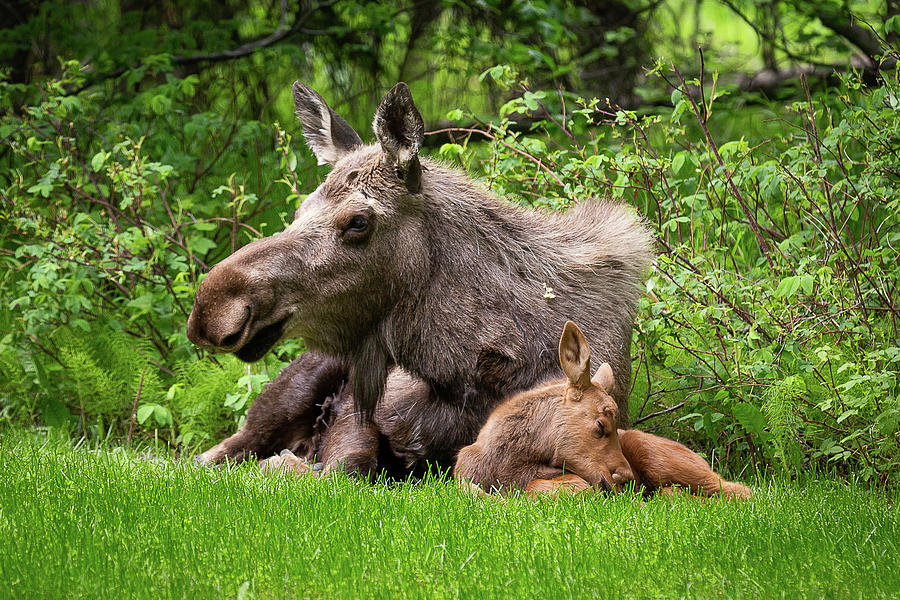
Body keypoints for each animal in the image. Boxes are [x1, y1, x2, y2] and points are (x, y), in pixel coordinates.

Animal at [188, 79, 652, 476]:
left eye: (358, 221)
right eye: (299, 211)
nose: (212, 309)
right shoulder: (362, 407)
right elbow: (351, 462)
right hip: (285, 396)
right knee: (202, 457)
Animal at [454, 322, 748, 500]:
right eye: (600, 425)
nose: (627, 478)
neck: (505, 465)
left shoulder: (579, 483)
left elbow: (538, 488)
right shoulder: (461, 480)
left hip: (657, 456)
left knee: (739, 490)